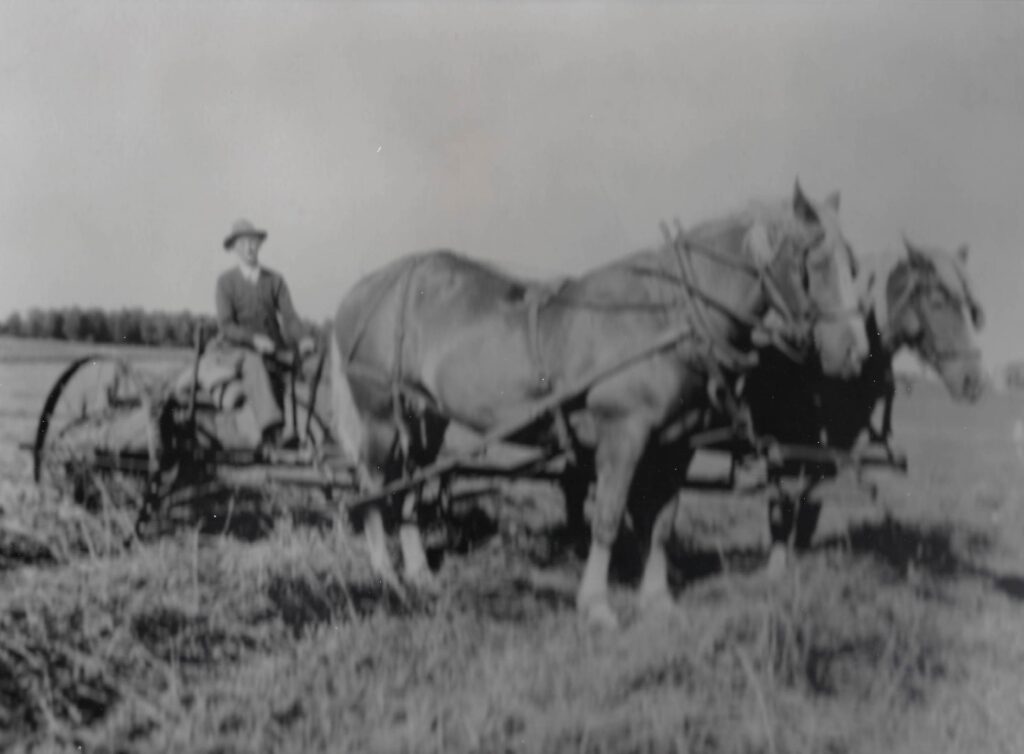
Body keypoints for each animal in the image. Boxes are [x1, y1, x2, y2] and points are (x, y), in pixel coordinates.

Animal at [329, 181, 872, 622]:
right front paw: (595, 604)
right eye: (814, 263)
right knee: (373, 486)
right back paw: (386, 574)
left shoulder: (677, 444)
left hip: (425, 419)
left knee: (410, 489)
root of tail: (360, 289)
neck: (666, 316)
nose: (856, 353)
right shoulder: (622, 435)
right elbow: (608, 519)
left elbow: (661, 525)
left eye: (854, 264)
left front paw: (658, 600)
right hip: (380, 416)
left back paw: (420, 573)